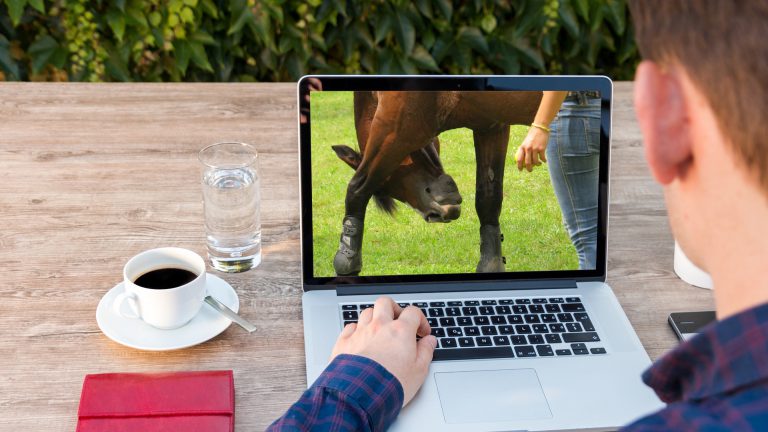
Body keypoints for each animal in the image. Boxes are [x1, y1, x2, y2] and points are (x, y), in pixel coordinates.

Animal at [331, 90, 542, 276]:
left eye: (385, 187)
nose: (437, 213)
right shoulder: (491, 126)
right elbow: (488, 200)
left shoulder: (393, 131)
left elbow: (357, 189)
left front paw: (346, 261)